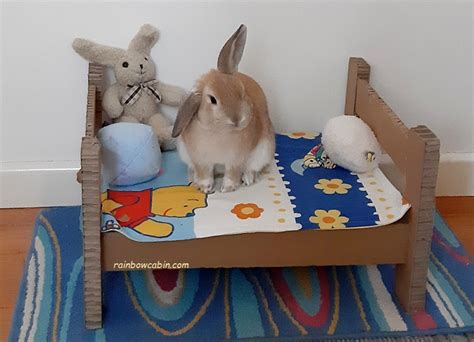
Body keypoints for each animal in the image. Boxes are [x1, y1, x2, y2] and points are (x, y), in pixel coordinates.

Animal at [171, 25, 274, 194]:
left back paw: (248, 179)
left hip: (262, 153)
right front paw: (205, 188)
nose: (238, 120)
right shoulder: (201, 160)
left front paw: (227, 188)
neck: (218, 131)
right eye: (213, 100)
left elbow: (232, 173)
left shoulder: (236, 160)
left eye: (241, 91)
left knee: (251, 169)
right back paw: (194, 177)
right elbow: (205, 174)